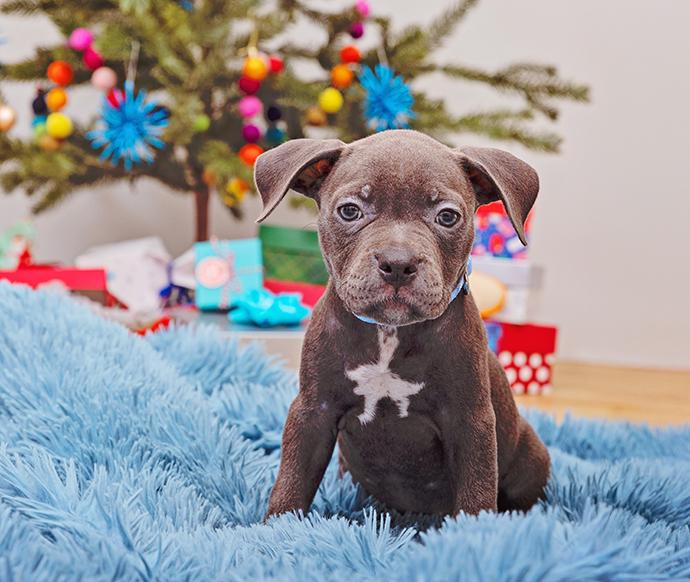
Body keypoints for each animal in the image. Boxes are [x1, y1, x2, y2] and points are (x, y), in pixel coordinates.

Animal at [253, 130, 548, 516]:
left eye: (447, 216)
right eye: (350, 210)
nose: (397, 263)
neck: (388, 333)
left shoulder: (471, 422)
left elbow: (476, 493)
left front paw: (476, 530)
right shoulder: (312, 412)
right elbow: (292, 480)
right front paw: (277, 525)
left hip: (532, 456)